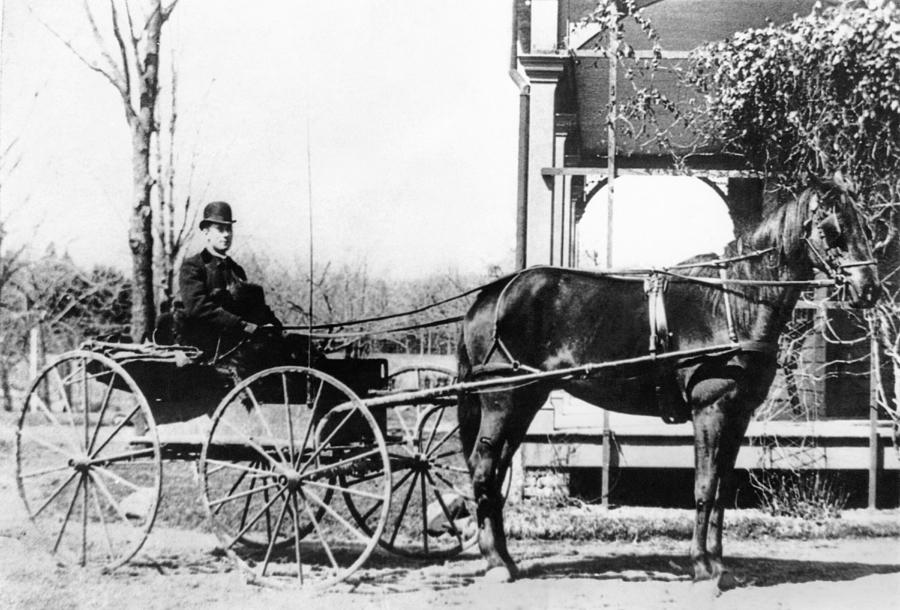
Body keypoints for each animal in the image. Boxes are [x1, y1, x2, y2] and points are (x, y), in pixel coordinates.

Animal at [458, 178, 880, 588]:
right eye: (832, 227)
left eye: (866, 224)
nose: (869, 289)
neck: (733, 304)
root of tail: (489, 296)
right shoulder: (710, 410)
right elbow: (704, 485)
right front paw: (702, 567)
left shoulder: (738, 415)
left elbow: (723, 487)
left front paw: (719, 564)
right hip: (502, 399)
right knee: (483, 467)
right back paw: (495, 562)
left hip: (527, 399)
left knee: (496, 471)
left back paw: (506, 560)